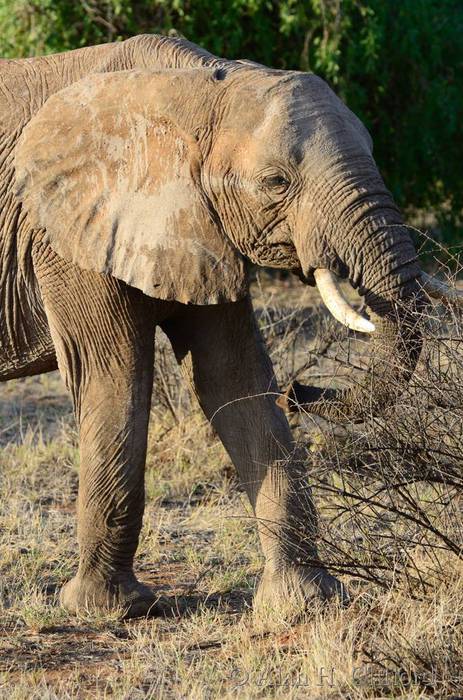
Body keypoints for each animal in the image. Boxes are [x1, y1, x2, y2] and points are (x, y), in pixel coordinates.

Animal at [0, 34, 456, 618]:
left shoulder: (202, 225)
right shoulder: (65, 234)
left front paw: (305, 602)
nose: (302, 389)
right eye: (276, 182)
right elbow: (114, 379)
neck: (194, 88)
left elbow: (234, 379)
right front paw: (108, 608)